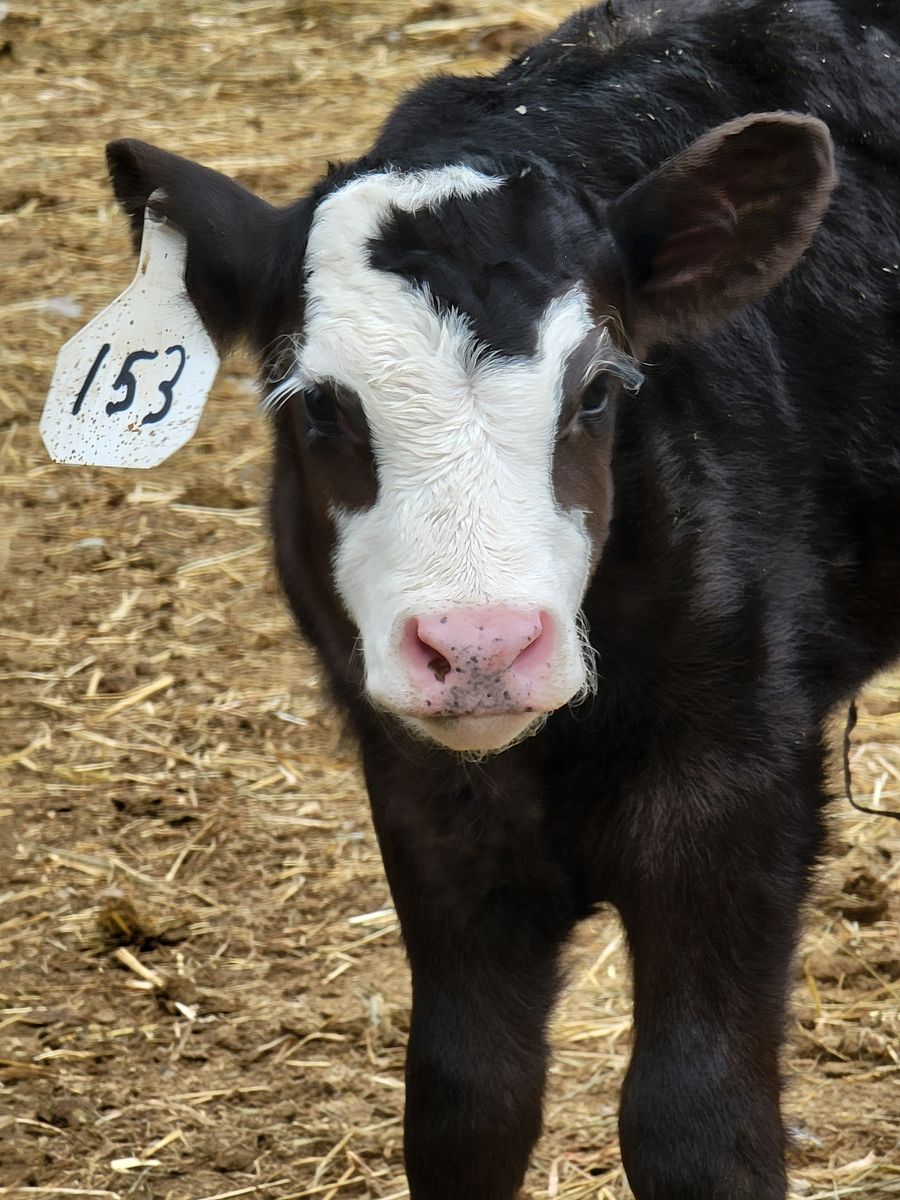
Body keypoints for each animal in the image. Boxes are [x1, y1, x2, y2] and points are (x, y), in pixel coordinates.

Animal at [103, 1, 900, 1196]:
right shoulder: (427, 796)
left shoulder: (737, 783)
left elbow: (698, 1122)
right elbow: (467, 1103)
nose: (479, 644)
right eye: (318, 407)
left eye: (599, 391)